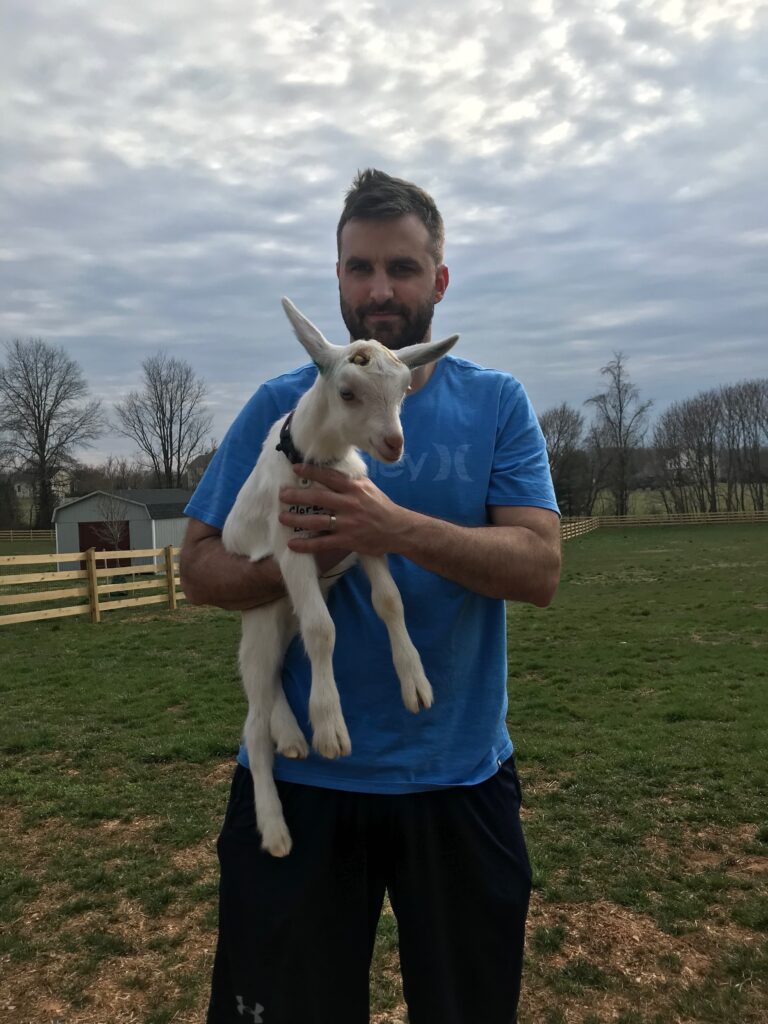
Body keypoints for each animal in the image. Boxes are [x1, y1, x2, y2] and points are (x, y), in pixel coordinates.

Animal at [221, 298, 458, 856]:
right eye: (348, 392)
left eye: (404, 390)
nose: (393, 443)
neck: (316, 461)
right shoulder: (292, 547)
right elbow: (324, 630)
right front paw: (331, 727)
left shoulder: (363, 533)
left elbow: (390, 601)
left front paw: (416, 685)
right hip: (259, 614)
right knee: (253, 720)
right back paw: (275, 827)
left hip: (277, 619)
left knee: (274, 678)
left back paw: (292, 734)